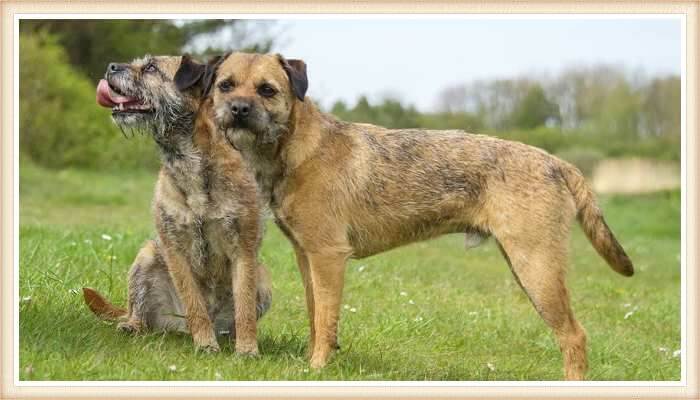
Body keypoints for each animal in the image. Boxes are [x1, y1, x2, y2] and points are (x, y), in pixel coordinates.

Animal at [82, 54, 268, 354]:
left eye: (151, 68)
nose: (111, 66)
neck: (188, 160)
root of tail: (179, 327)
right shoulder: (174, 249)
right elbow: (194, 303)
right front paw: (205, 345)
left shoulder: (244, 249)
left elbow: (245, 307)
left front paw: (247, 349)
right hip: (146, 257)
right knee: (140, 312)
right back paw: (133, 325)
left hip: (263, 277)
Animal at [204, 51, 636, 380]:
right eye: (225, 85)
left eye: (267, 89)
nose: (238, 109)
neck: (297, 146)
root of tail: (557, 163)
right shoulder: (306, 255)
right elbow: (315, 315)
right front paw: (315, 362)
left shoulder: (328, 256)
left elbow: (326, 319)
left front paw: (318, 368)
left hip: (537, 266)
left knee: (574, 336)